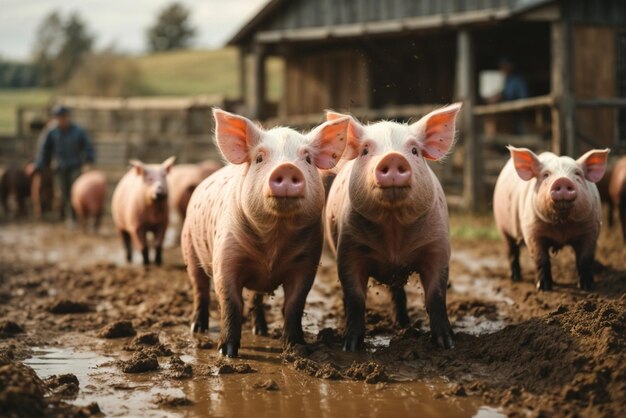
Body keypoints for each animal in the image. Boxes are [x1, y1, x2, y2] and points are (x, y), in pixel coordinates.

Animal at [182, 108, 352, 356]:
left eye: (308, 159)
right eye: (260, 158)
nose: (287, 168)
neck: (274, 242)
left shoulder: (307, 262)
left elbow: (295, 303)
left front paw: (296, 346)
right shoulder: (225, 256)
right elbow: (230, 302)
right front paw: (227, 352)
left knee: (256, 299)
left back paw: (260, 331)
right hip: (190, 248)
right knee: (200, 290)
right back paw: (197, 328)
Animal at [324, 103, 460, 352]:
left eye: (414, 151)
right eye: (365, 151)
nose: (394, 157)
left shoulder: (438, 247)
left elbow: (436, 295)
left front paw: (447, 343)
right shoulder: (348, 249)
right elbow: (355, 297)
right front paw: (350, 346)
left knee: (399, 292)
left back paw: (404, 324)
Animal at [490, 147, 608, 290]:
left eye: (578, 174)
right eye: (546, 175)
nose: (562, 180)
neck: (562, 226)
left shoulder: (591, 229)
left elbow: (585, 258)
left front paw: (586, 286)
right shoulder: (532, 231)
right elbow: (541, 259)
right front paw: (543, 288)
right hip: (503, 229)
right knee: (512, 252)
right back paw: (515, 278)